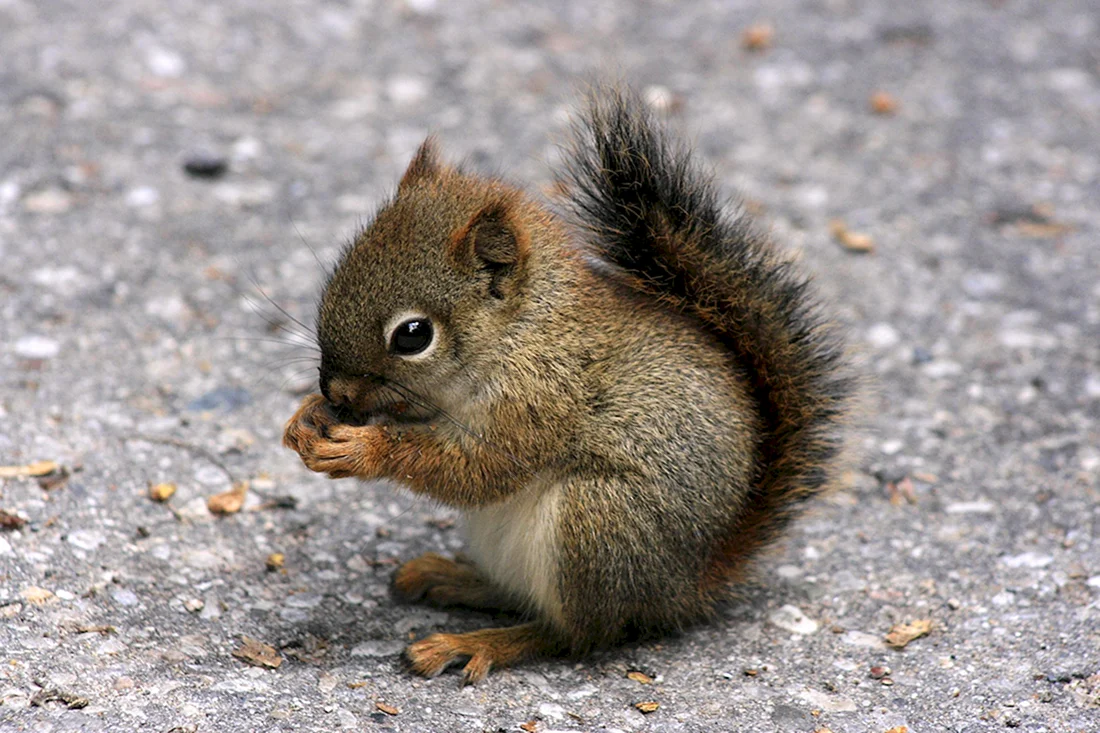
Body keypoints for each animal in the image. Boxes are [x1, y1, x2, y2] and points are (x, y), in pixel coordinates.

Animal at [282, 87, 853, 684]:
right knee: (522, 597)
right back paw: (453, 578)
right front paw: (306, 418)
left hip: (598, 522)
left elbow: (480, 470)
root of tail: (686, 587)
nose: (337, 392)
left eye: (413, 335)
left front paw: (362, 449)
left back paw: (478, 642)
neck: (522, 332)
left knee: (576, 633)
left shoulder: (540, 399)